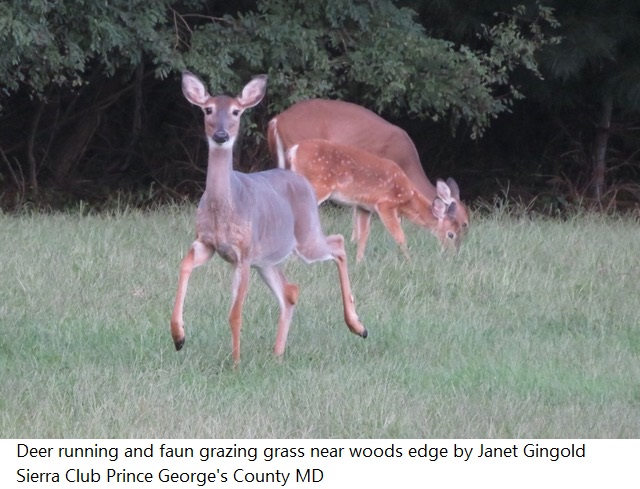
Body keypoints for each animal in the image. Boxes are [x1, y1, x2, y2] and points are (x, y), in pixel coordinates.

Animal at [171, 72, 367, 366]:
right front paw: (178, 336)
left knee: (338, 243)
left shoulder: (243, 253)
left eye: (236, 111)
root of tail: (301, 180)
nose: (221, 134)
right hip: (266, 259)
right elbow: (184, 266)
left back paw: (358, 326)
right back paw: (278, 353)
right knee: (290, 292)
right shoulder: (206, 243)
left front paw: (235, 363)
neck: (223, 208)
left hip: (305, 236)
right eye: (208, 110)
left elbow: (235, 313)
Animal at [286, 139, 463, 261]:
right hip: (317, 186)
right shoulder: (385, 204)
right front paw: (410, 261)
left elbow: (363, 235)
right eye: (451, 234)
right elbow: (400, 235)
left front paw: (359, 262)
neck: (407, 198)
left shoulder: (364, 207)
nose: (454, 255)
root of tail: (294, 151)